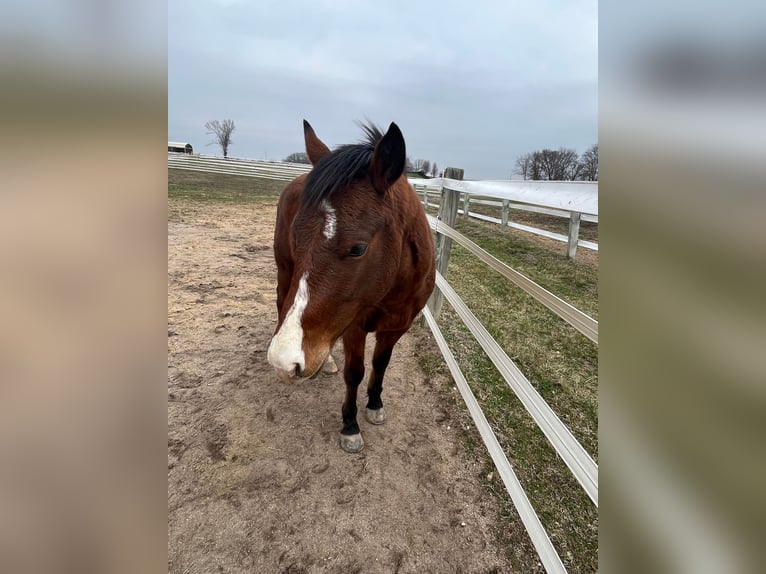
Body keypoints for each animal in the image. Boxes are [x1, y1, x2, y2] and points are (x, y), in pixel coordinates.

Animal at [268, 120, 438, 454]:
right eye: (297, 235)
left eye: (358, 248)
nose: (283, 362)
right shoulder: (354, 326)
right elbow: (354, 372)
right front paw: (350, 425)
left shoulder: (397, 326)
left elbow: (380, 363)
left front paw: (374, 404)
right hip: (285, 271)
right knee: (282, 302)